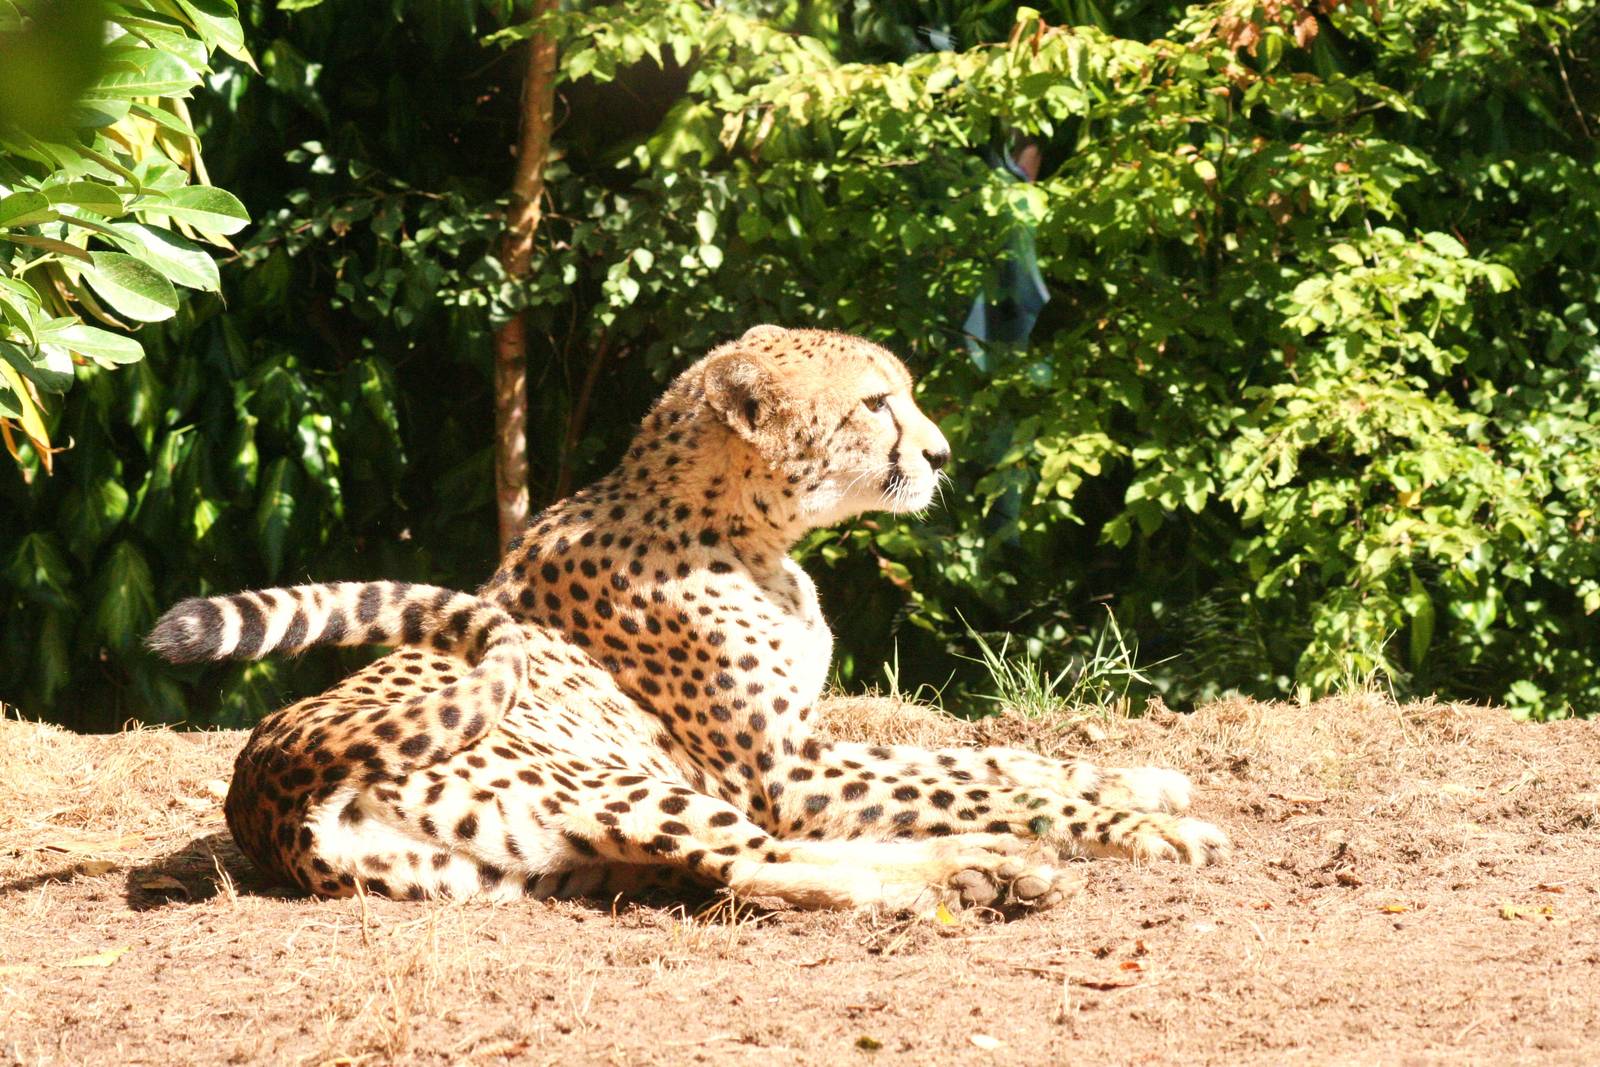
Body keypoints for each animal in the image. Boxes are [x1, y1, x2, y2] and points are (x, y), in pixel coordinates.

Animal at [149, 325, 1228, 914]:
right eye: (877, 403)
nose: (940, 454)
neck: (750, 529)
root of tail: (265, 781)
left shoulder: (805, 743)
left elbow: (996, 759)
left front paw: (1144, 781)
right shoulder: (782, 772)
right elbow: (978, 783)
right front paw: (1144, 827)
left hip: (527, 867)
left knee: (748, 869)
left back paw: (978, 875)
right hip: (623, 781)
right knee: (761, 864)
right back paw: (973, 872)